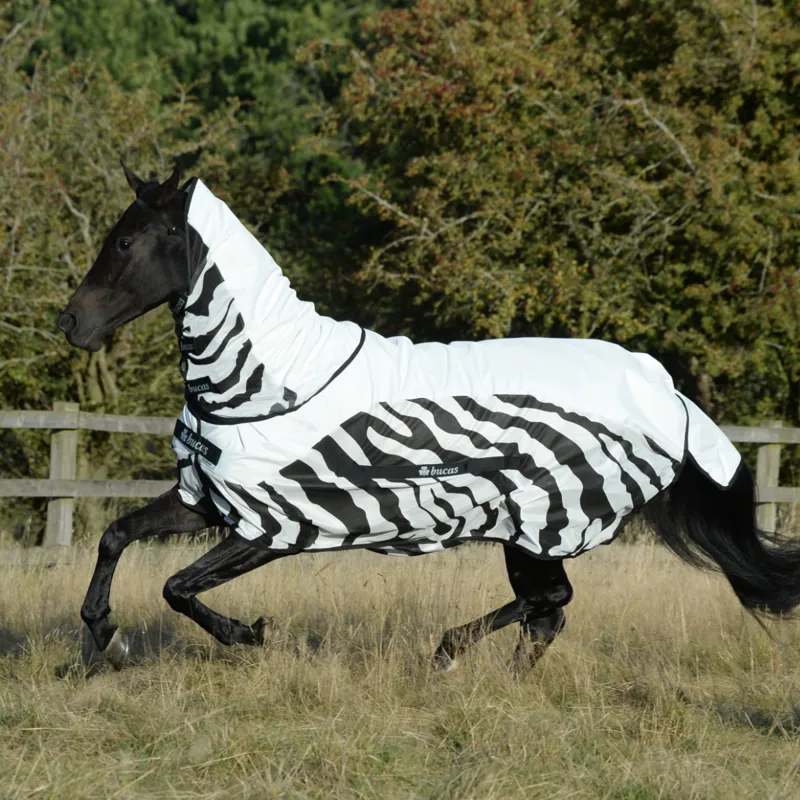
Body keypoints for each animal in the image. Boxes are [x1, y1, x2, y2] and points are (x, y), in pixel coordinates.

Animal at [57, 165, 800, 672]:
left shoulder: (276, 527)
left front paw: (249, 634)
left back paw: (447, 654)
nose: (70, 323)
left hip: (534, 528)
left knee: (550, 604)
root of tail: (666, 394)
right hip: (528, 536)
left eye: (126, 241)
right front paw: (107, 637)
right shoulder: (205, 502)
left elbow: (177, 585)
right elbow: (117, 539)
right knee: (547, 615)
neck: (267, 382)